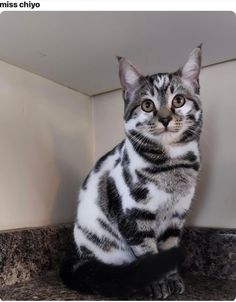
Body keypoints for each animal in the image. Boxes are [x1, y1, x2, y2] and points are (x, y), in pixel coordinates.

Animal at [60, 46, 203, 298]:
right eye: (147, 105)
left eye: (178, 100)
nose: (165, 119)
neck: (171, 164)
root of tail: (77, 255)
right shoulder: (134, 215)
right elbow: (148, 252)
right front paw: (157, 283)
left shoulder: (176, 216)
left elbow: (168, 248)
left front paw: (172, 279)